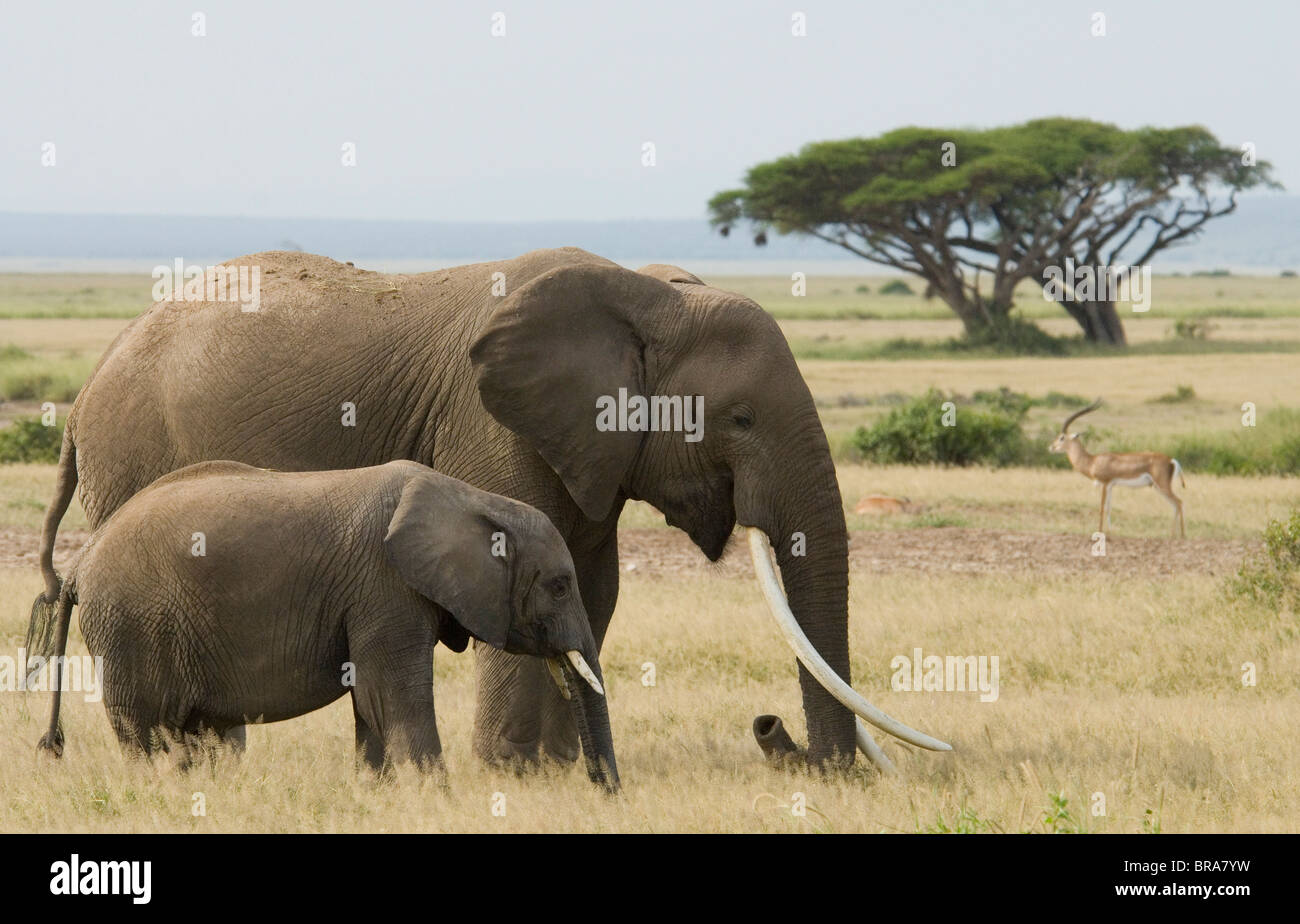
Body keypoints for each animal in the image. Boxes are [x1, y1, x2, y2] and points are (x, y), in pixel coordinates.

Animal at [31, 460, 618, 790]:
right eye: (560, 585)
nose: (602, 789)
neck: (471, 498)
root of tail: (80, 564)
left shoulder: (374, 597)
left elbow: (372, 702)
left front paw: (377, 795)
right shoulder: (385, 587)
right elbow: (394, 697)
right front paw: (436, 797)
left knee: (192, 734)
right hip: (129, 624)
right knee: (144, 730)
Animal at [1050, 400, 1185, 538]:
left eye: (1061, 437)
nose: (1051, 447)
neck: (1093, 461)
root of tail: (1171, 460)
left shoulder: (1104, 483)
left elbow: (1102, 507)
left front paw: (1100, 531)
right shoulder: (1111, 485)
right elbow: (1108, 508)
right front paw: (1110, 532)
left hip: (1162, 485)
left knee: (1179, 502)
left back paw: (1182, 535)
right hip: (1157, 487)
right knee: (1175, 505)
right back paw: (1172, 534)